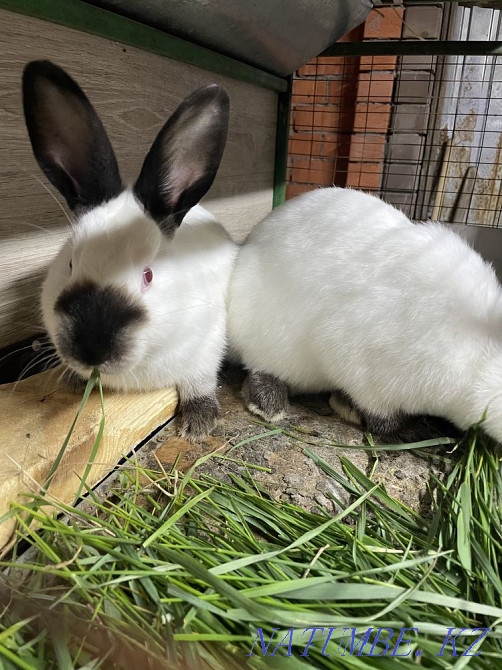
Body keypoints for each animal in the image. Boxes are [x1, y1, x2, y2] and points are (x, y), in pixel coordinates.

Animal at [22, 60, 238, 441]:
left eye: (148, 275)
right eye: (70, 263)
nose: (92, 349)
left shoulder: (206, 345)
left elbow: (199, 381)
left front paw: (198, 424)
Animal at [227, 186, 502, 444]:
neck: (477, 358)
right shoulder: (365, 370)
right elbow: (381, 415)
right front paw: (407, 434)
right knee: (258, 367)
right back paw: (270, 404)